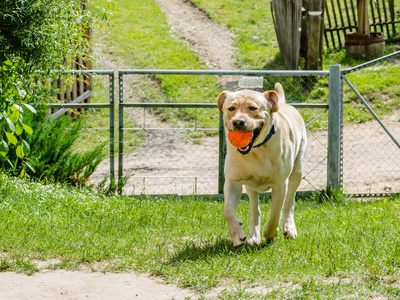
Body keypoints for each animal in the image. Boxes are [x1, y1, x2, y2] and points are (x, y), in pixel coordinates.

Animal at [217, 82, 308, 246]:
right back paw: (253, 236)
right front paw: (237, 235)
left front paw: (270, 233)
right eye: (231, 108)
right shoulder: (233, 181)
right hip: (250, 186)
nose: (238, 122)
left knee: (289, 202)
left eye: (253, 108)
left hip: (297, 172)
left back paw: (289, 227)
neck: (256, 151)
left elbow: (276, 213)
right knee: (255, 209)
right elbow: (228, 210)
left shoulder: (280, 184)